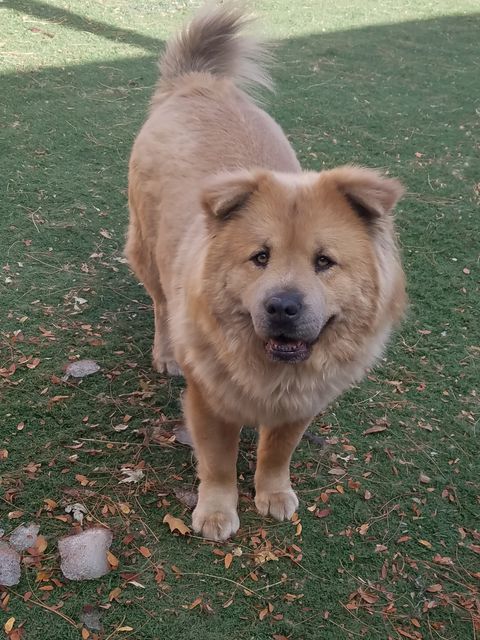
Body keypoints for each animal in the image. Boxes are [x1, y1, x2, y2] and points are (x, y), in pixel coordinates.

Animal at [124, 1, 404, 540]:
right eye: (260, 257)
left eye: (324, 262)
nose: (283, 306)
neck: (270, 374)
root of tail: (197, 83)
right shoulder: (209, 403)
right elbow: (217, 463)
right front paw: (216, 512)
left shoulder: (300, 406)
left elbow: (277, 453)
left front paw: (273, 494)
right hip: (147, 252)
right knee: (160, 305)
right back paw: (165, 351)